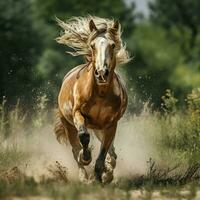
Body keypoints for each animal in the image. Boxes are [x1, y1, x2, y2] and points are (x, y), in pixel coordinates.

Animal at [54, 16, 130, 184]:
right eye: (92, 45)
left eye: (113, 45)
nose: (101, 73)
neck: (100, 94)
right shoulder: (77, 114)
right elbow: (83, 136)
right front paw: (86, 157)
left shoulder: (110, 125)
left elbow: (103, 153)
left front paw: (100, 176)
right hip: (68, 124)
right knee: (75, 149)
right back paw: (83, 176)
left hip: (99, 128)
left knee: (112, 153)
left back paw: (106, 172)